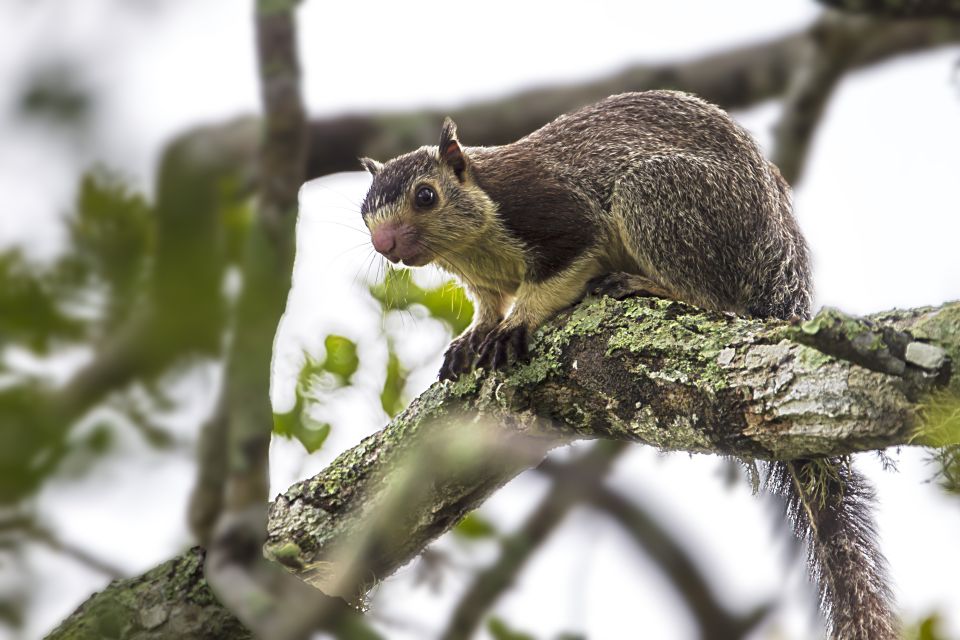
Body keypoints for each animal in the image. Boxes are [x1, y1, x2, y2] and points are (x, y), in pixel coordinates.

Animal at [356, 91, 896, 640]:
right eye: (364, 213)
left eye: (426, 196)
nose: (385, 245)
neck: (472, 245)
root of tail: (781, 277)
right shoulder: (482, 280)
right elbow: (487, 306)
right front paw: (474, 336)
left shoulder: (555, 212)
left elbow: (558, 269)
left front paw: (516, 323)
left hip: (662, 200)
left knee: (713, 298)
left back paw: (641, 283)